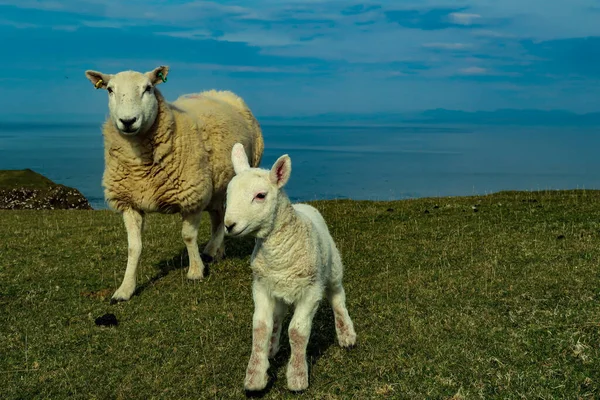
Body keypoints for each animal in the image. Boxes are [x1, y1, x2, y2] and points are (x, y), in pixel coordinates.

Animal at [84, 66, 262, 304]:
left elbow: (188, 236)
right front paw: (125, 288)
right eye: (110, 90)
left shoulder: (192, 196)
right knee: (218, 216)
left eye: (148, 88)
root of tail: (220, 92)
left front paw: (195, 271)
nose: (128, 121)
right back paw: (217, 251)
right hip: (216, 185)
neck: (141, 166)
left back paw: (211, 249)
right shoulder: (129, 202)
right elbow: (133, 247)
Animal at [224, 143, 356, 390]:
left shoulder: (311, 291)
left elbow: (297, 331)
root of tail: (303, 205)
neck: (279, 256)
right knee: (278, 315)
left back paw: (346, 334)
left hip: (333, 268)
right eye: (227, 195)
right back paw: (272, 347)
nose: (229, 225)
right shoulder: (261, 287)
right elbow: (261, 328)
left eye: (260, 195)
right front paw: (256, 376)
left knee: (337, 297)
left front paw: (297, 376)